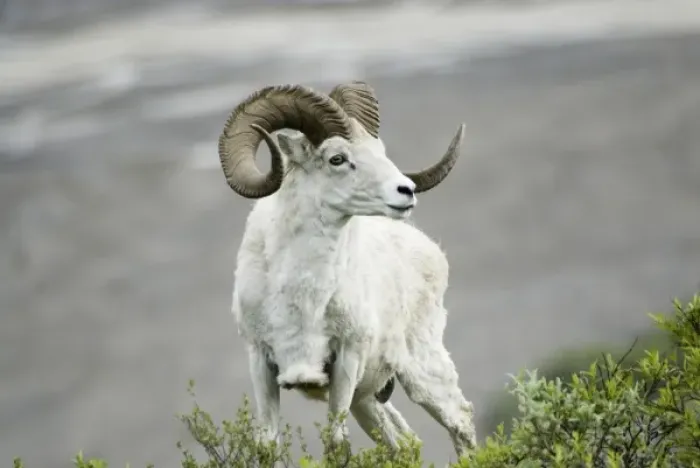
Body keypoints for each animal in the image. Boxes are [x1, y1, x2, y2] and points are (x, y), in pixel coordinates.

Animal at [221, 82, 476, 457]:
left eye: (379, 151)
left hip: (420, 374)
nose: (406, 191)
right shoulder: (261, 362)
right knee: (405, 443)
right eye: (337, 159)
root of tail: (430, 250)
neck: (301, 300)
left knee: (461, 423)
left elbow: (336, 444)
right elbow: (268, 444)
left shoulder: (345, 361)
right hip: (368, 401)